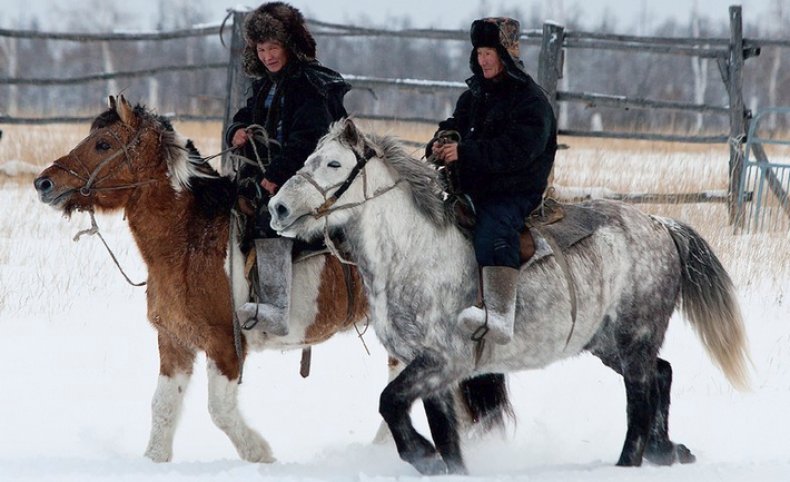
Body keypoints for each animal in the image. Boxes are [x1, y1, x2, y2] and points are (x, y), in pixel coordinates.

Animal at [32, 97, 508, 464]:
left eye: (103, 143)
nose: (44, 183)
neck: (191, 241)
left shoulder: (225, 345)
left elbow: (220, 410)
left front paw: (260, 454)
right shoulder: (175, 343)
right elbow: (163, 408)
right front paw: (153, 462)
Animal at [270, 119, 752, 474]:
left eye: (334, 163)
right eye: (310, 158)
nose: (277, 208)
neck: (413, 252)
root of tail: (661, 225)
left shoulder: (443, 361)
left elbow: (389, 403)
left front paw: (421, 455)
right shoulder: (431, 371)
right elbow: (444, 435)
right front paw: (440, 462)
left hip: (634, 340)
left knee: (640, 398)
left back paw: (631, 461)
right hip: (606, 343)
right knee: (662, 374)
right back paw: (666, 449)